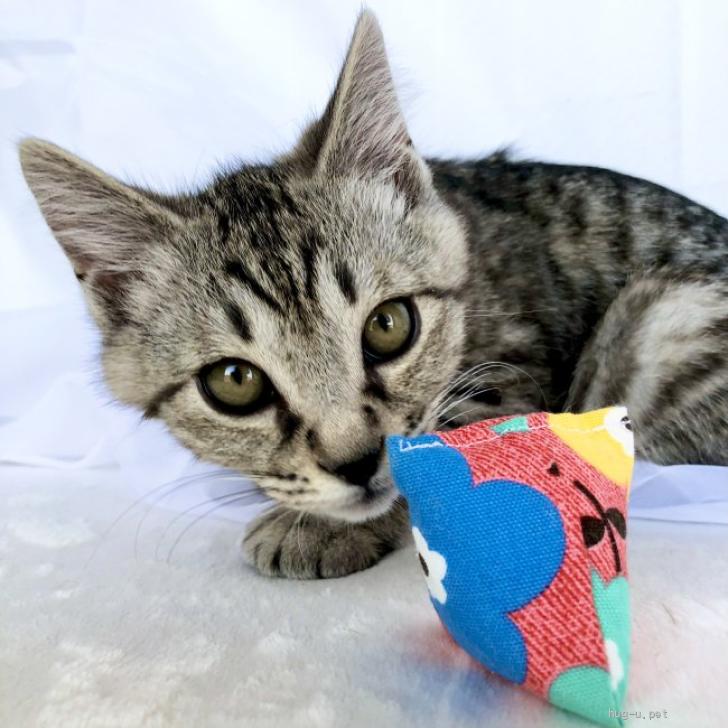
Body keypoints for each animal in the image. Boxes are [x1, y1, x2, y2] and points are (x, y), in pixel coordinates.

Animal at [20, 11, 728, 580]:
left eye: (389, 325)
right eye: (234, 381)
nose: (357, 463)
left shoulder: (517, 372)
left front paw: (322, 528)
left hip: (660, 319)